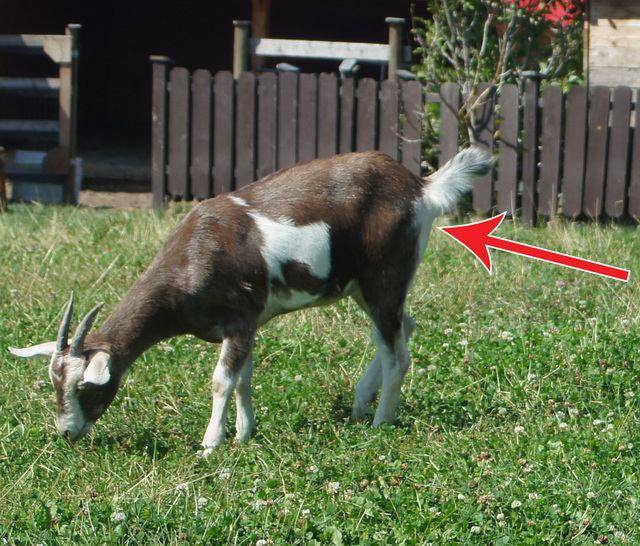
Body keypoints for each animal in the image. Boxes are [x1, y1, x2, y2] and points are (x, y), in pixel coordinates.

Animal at [9, 147, 492, 456]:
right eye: (53, 383)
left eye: (85, 386)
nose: (67, 432)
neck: (194, 255)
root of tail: (422, 187)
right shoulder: (248, 326)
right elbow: (243, 377)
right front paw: (244, 433)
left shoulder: (239, 320)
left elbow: (222, 380)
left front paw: (210, 444)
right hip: (363, 286)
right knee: (401, 329)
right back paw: (359, 404)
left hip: (384, 279)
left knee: (398, 352)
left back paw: (381, 422)